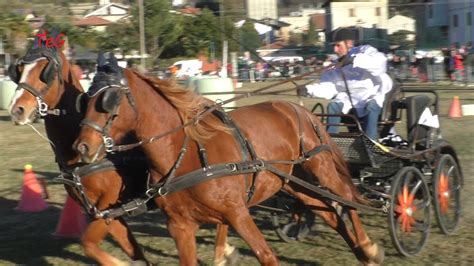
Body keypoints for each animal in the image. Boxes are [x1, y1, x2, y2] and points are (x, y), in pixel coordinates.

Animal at [7, 46, 152, 264]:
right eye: (19, 70)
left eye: (46, 72)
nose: (17, 110)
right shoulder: (105, 212)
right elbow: (132, 251)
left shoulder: (110, 203)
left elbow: (88, 243)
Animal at [74, 67, 386, 264]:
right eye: (84, 99)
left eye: (109, 101)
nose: (82, 147)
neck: (186, 153)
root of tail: (299, 109)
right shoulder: (180, 226)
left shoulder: (237, 213)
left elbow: (266, 256)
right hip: (293, 183)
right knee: (329, 213)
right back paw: (360, 252)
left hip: (320, 167)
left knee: (345, 199)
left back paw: (369, 248)